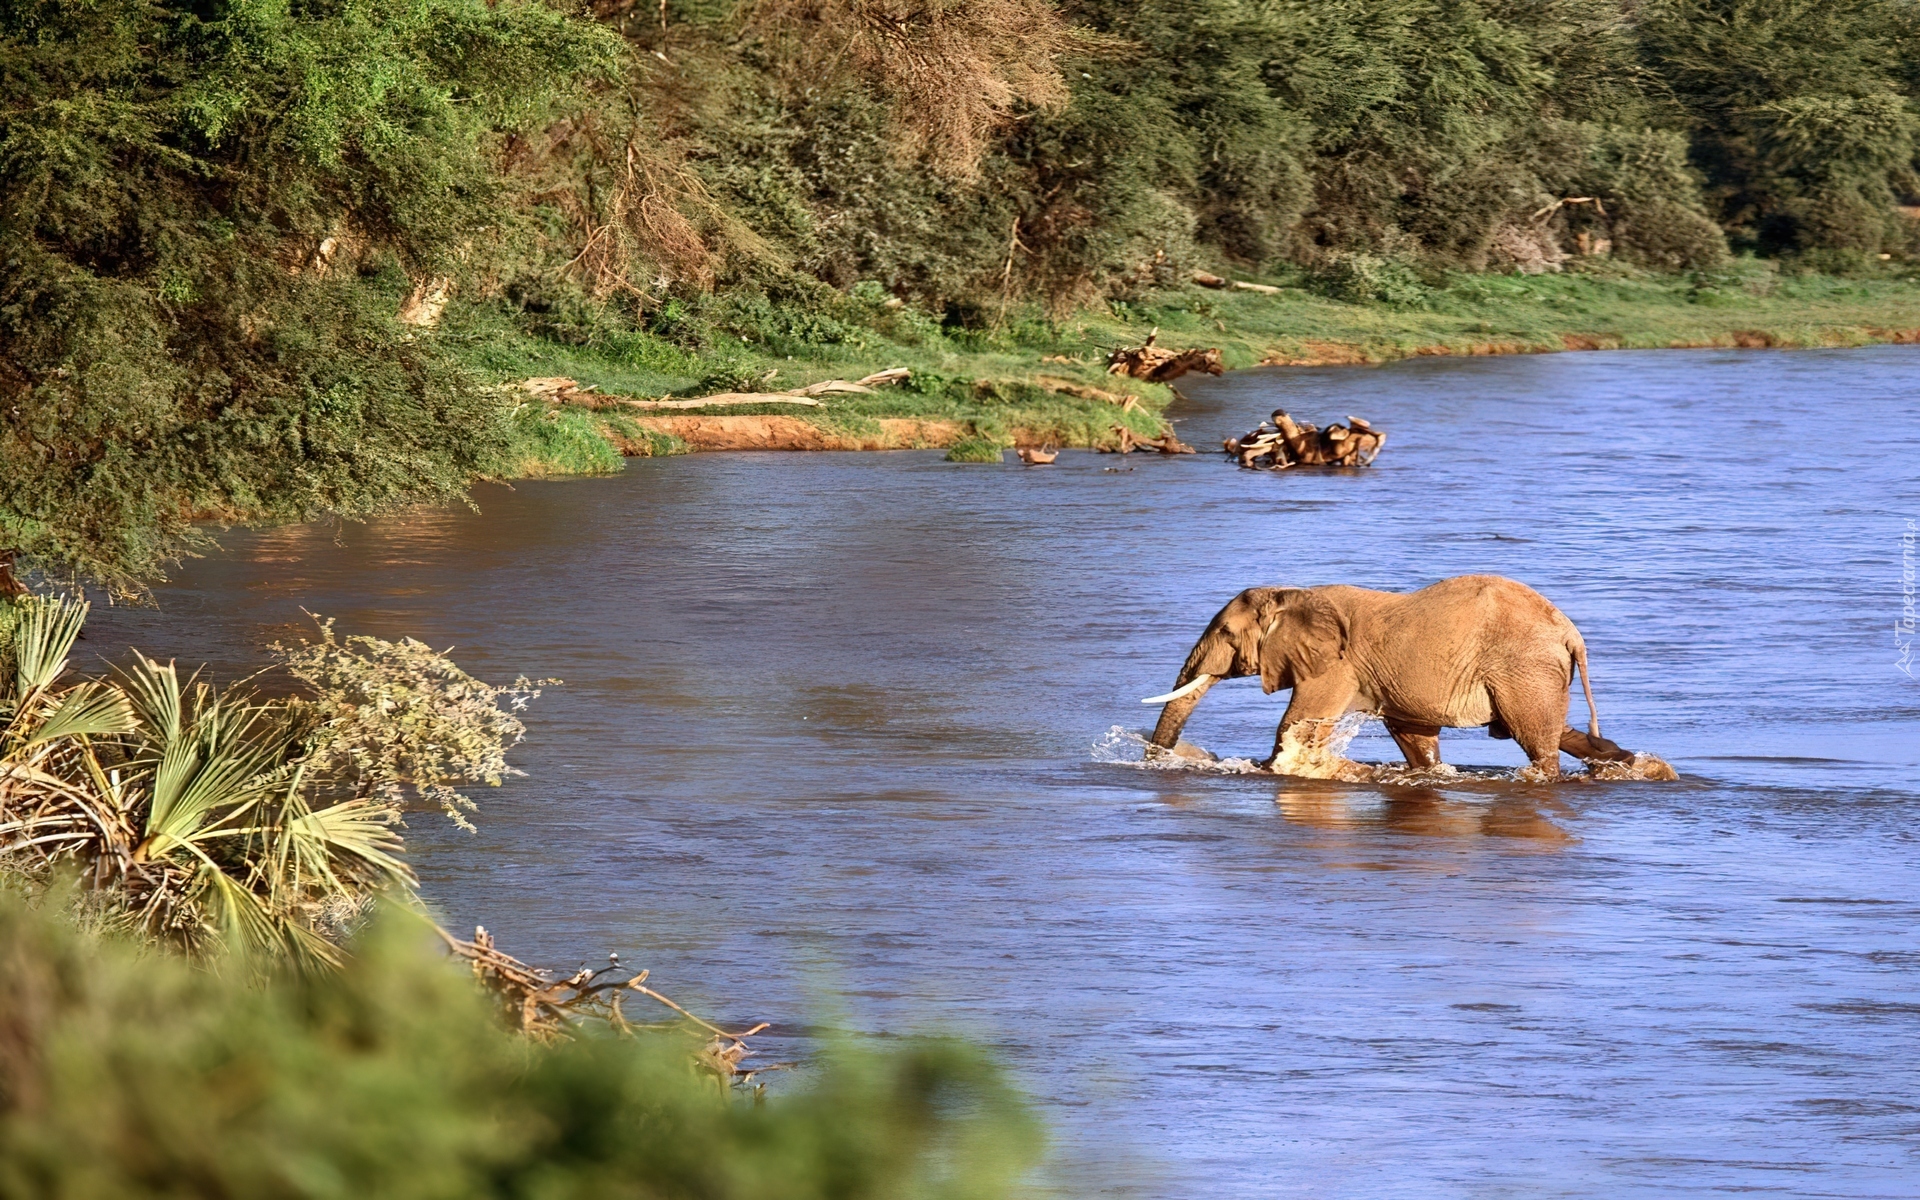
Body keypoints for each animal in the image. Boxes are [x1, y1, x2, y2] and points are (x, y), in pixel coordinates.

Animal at [1144, 572, 1643, 775]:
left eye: (1227, 633)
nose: (1170, 759)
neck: (1293, 592)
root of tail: (1571, 631)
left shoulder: (1336, 665)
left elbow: (1294, 730)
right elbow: (1414, 737)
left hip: (1524, 669)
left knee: (1537, 741)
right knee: (1557, 731)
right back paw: (1630, 763)